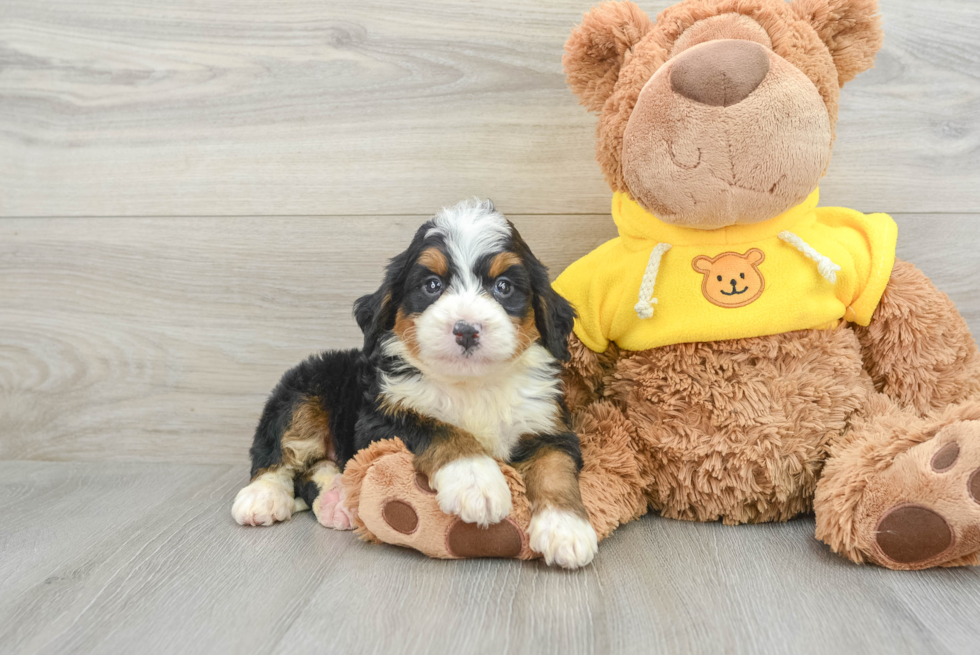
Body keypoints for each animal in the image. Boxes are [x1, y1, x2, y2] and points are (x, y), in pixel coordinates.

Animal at [234, 199, 600, 568]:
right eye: (432, 285)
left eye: (504, 287)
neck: (472, 384)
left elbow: (555, 468)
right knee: (277, 453)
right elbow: (440, 429)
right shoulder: (381, 419)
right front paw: (476, 482)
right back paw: (261, 498)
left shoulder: (546, 424)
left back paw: (336, 500)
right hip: (304, 389)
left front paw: (565, 529)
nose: (466, 329)